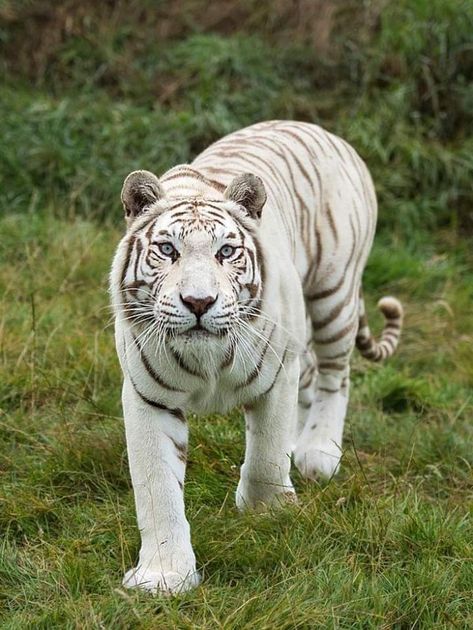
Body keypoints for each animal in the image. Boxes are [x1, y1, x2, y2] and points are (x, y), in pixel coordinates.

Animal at [110, 121, 402, 596]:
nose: (198, 302)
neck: (206, 360)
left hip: (333, 294)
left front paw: (267, 511)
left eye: (226, 252)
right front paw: (165, 576)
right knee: (314, 375)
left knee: (335, 376)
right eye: (168, 250)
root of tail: (319, 129)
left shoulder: (278, 373)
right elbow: (156, 487)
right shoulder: (148, 396)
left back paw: (319, 452)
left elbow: (266, 453)